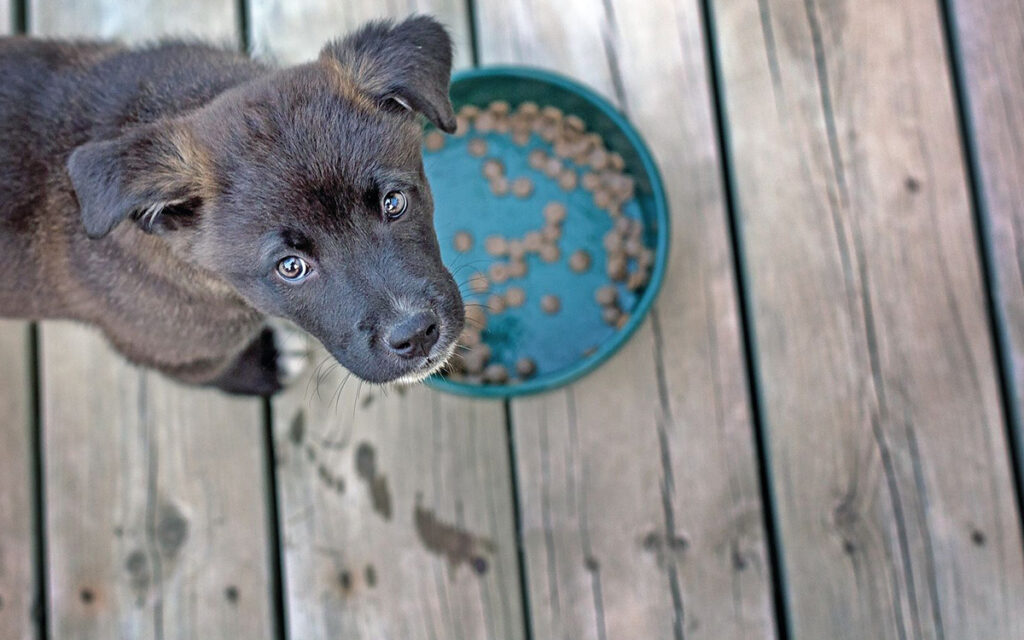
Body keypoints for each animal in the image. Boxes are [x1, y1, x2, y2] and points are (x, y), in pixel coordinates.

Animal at [0, 16, 464, 395]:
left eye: (393, 203)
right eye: (290, 266)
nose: (416, 334)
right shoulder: (170, 352)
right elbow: (217, 372)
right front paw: (267, 367)